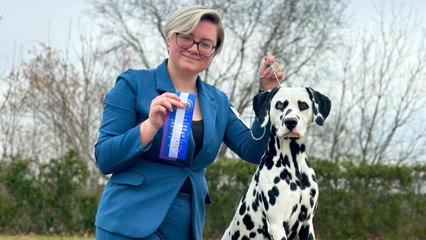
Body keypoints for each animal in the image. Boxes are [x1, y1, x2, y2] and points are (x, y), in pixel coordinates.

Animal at [223, 86, 332, 240]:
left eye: (303, 105)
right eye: (280, 105)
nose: (290, 122)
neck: (293, 166)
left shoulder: (307, 224)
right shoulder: (277, 225)